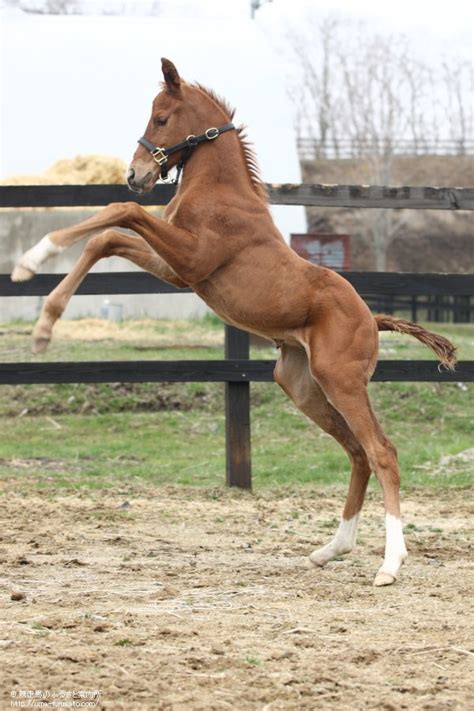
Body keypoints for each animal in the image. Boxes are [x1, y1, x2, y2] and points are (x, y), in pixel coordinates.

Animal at [12, 58, 458, 588]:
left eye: (161, 118)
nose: (136, 173)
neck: (219, 192)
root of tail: (372, 317)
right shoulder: (178, 271)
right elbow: (108, 239)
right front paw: (39, 308)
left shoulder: (191, 258)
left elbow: (123, 213)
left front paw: (34, 264)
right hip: (300, 384)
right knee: (356, 453)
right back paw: (331, 549)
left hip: (342, 381)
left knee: (381, 452)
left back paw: (389, 564)